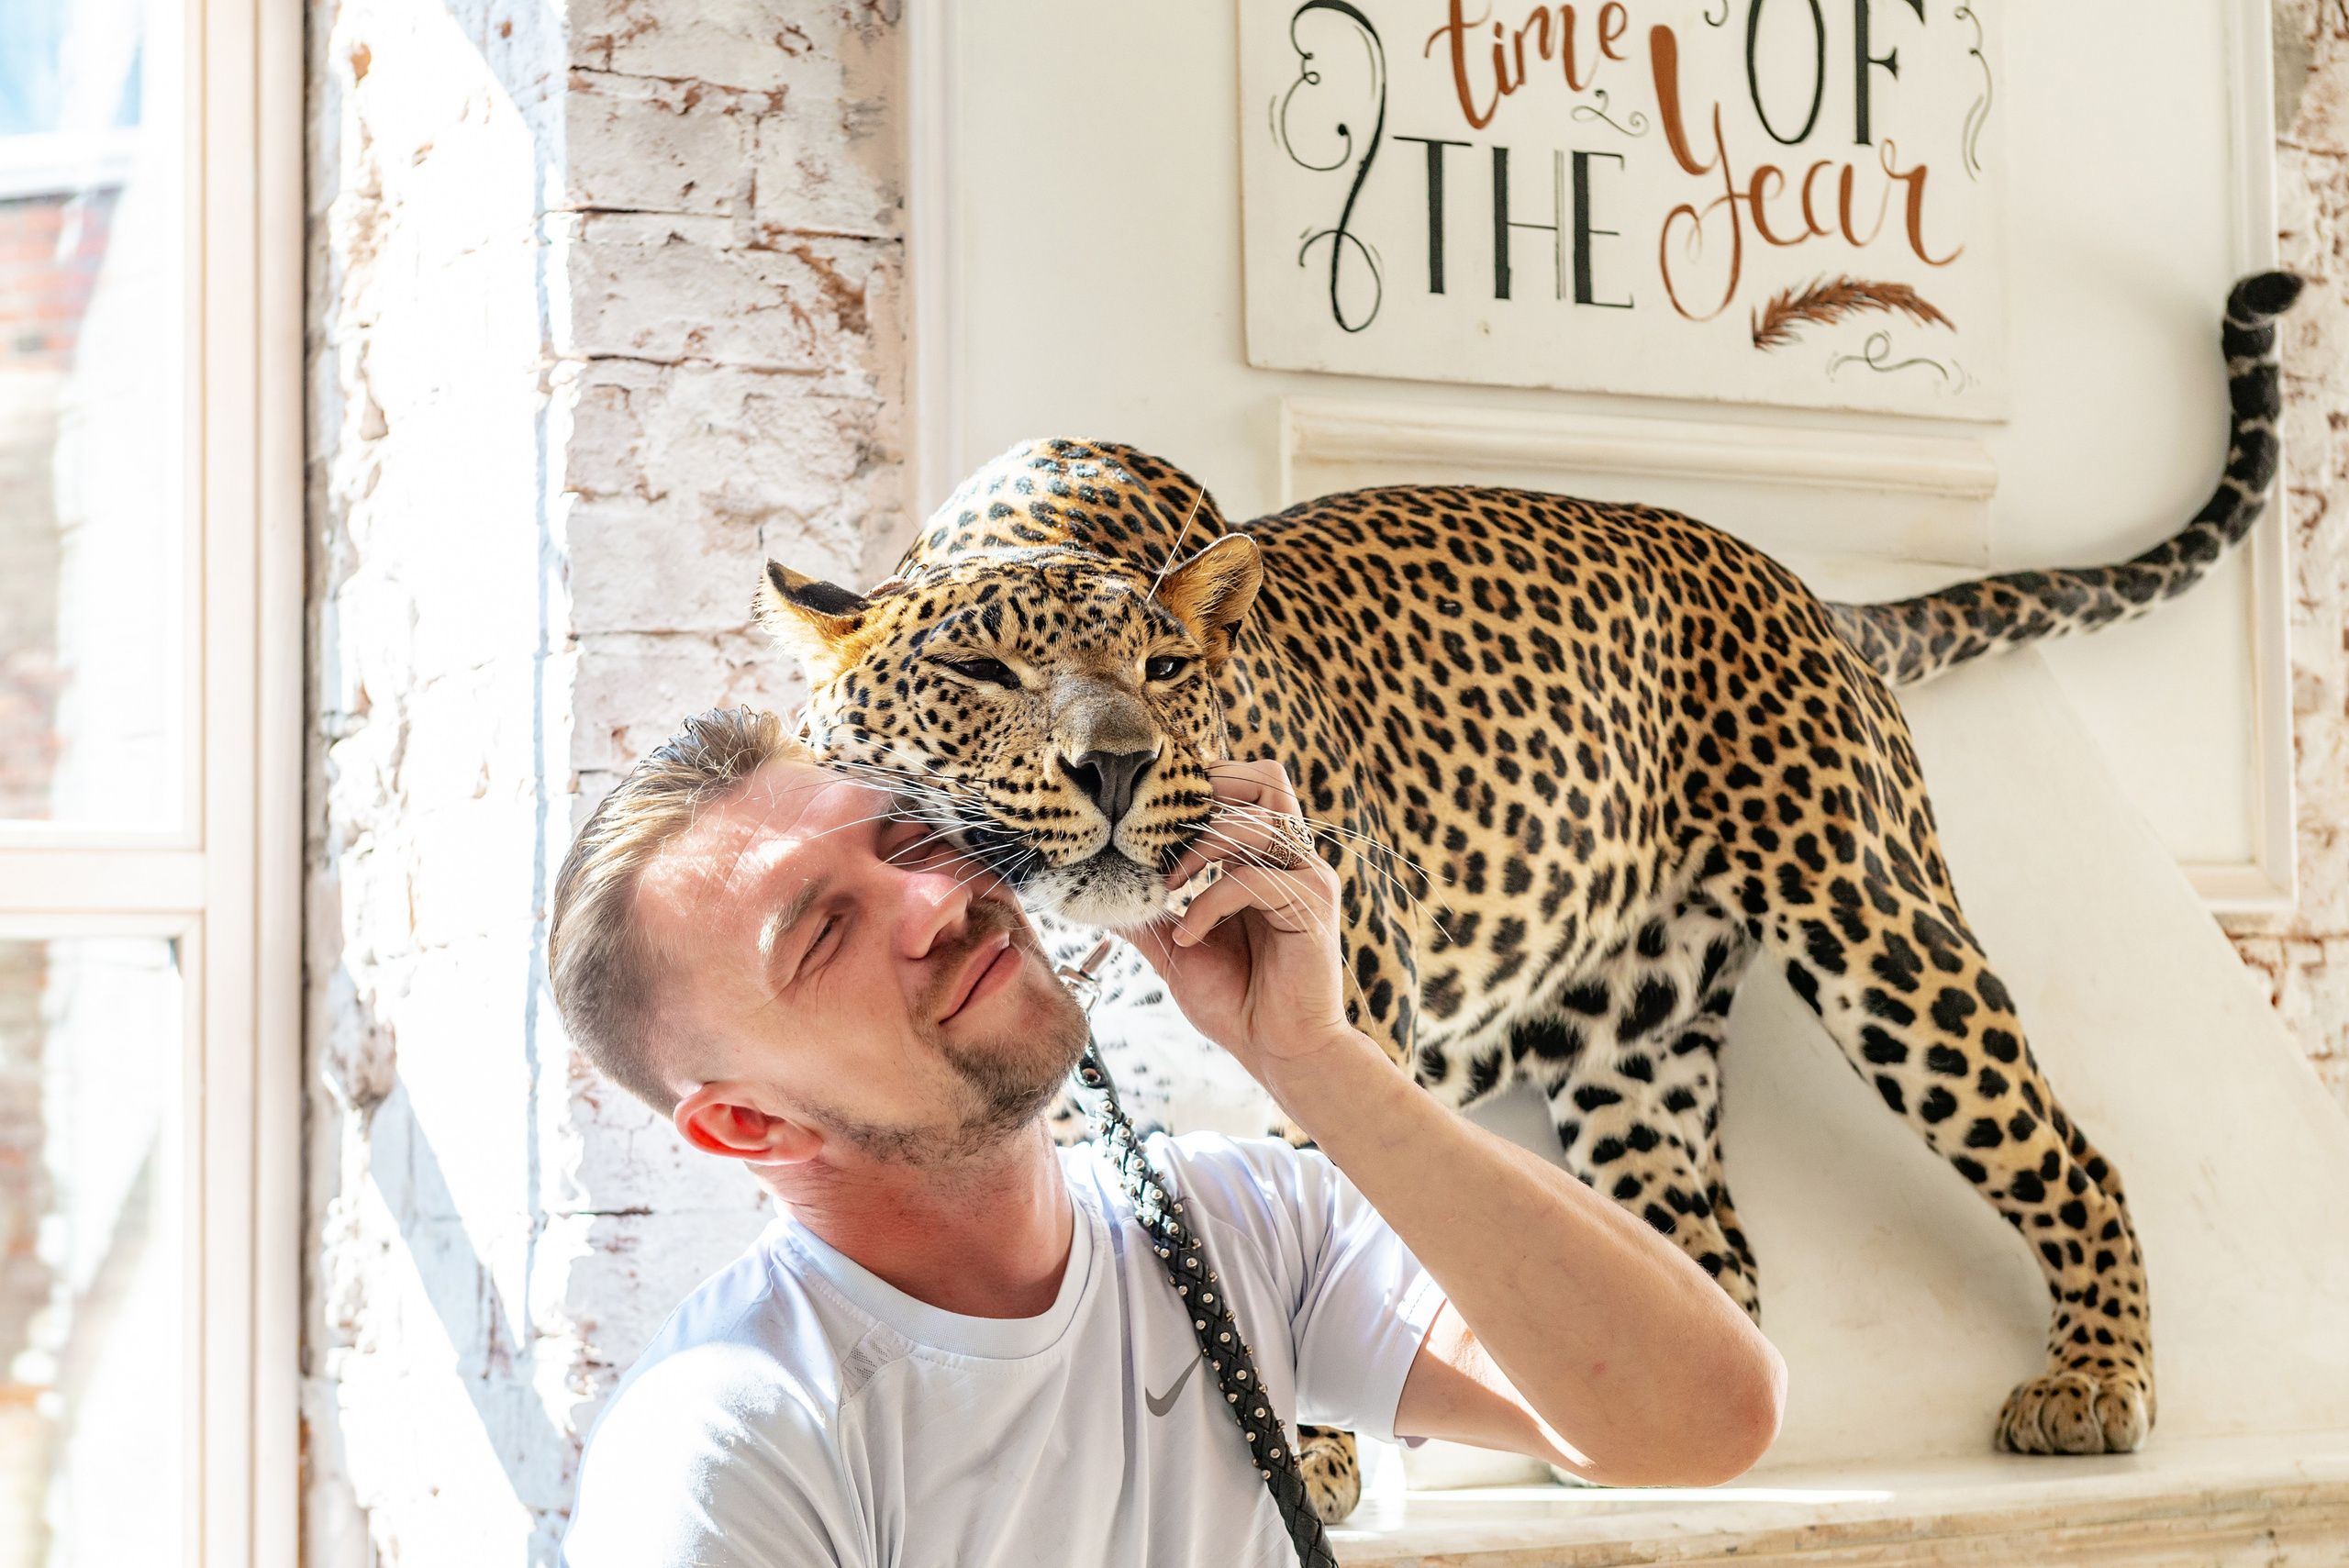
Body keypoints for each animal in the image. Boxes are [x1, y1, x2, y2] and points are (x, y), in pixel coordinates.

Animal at [751, 272, 2302, 1522]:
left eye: (1166, 673)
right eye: (981, 673)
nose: (1119, 764)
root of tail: (1811, 591)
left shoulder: (1351, 1018)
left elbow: (1324, 1220)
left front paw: (1311, 1454)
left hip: (1874, 923)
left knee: (2068, 1152)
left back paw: (2094, 1379)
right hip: (1632, 1043)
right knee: (1713, 1268)